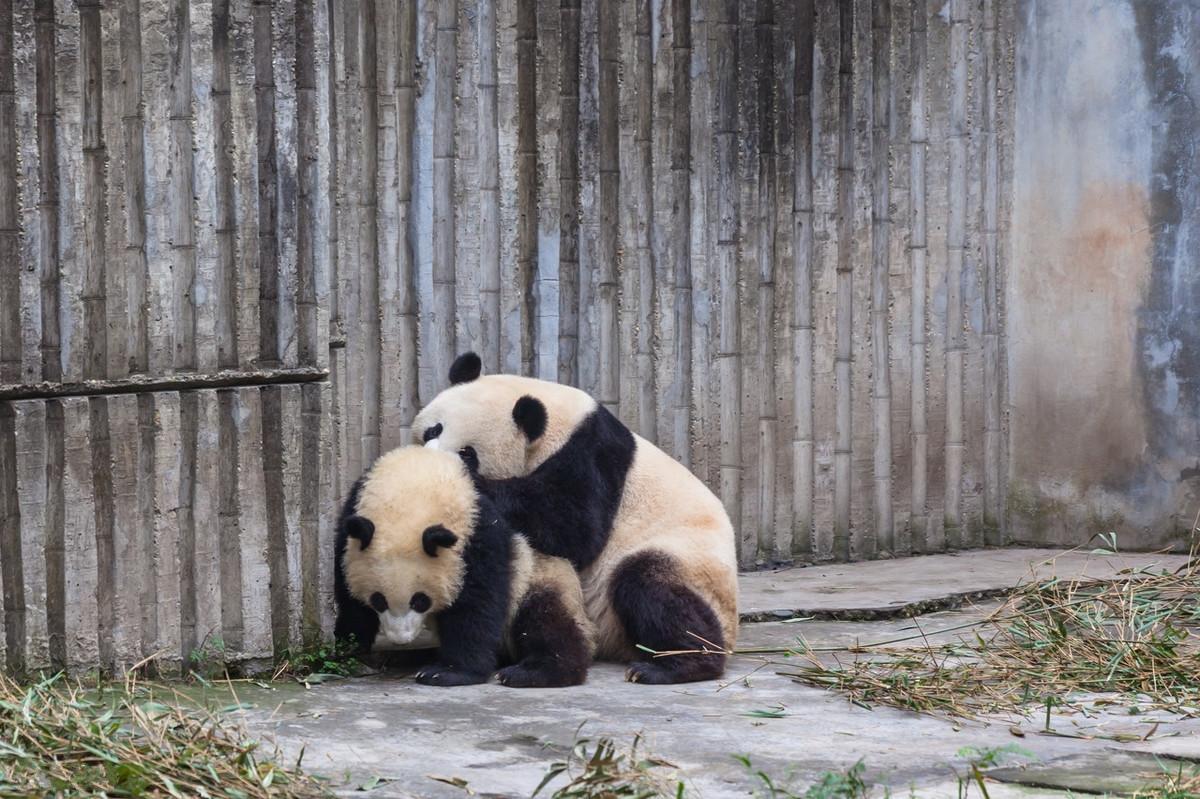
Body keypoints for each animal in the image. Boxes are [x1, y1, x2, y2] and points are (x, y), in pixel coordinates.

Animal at [333, 441, 595, 686]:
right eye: (378, 600)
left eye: (420, 600)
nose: (400, 638)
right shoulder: (351, 519)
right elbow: (348, 595)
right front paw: (350, 649)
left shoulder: (477, 532)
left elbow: (477, 603)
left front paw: (447, 672)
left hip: (538, 577)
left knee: (545, 621)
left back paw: (532, 672)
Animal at [412, 355, 734, 686]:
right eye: (434, 429)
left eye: (468, 453)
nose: (429, 461)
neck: (561, 423)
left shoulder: (592, 455)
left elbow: (575, 527)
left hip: (689, 562)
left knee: (651, 586)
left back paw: (672, 665)